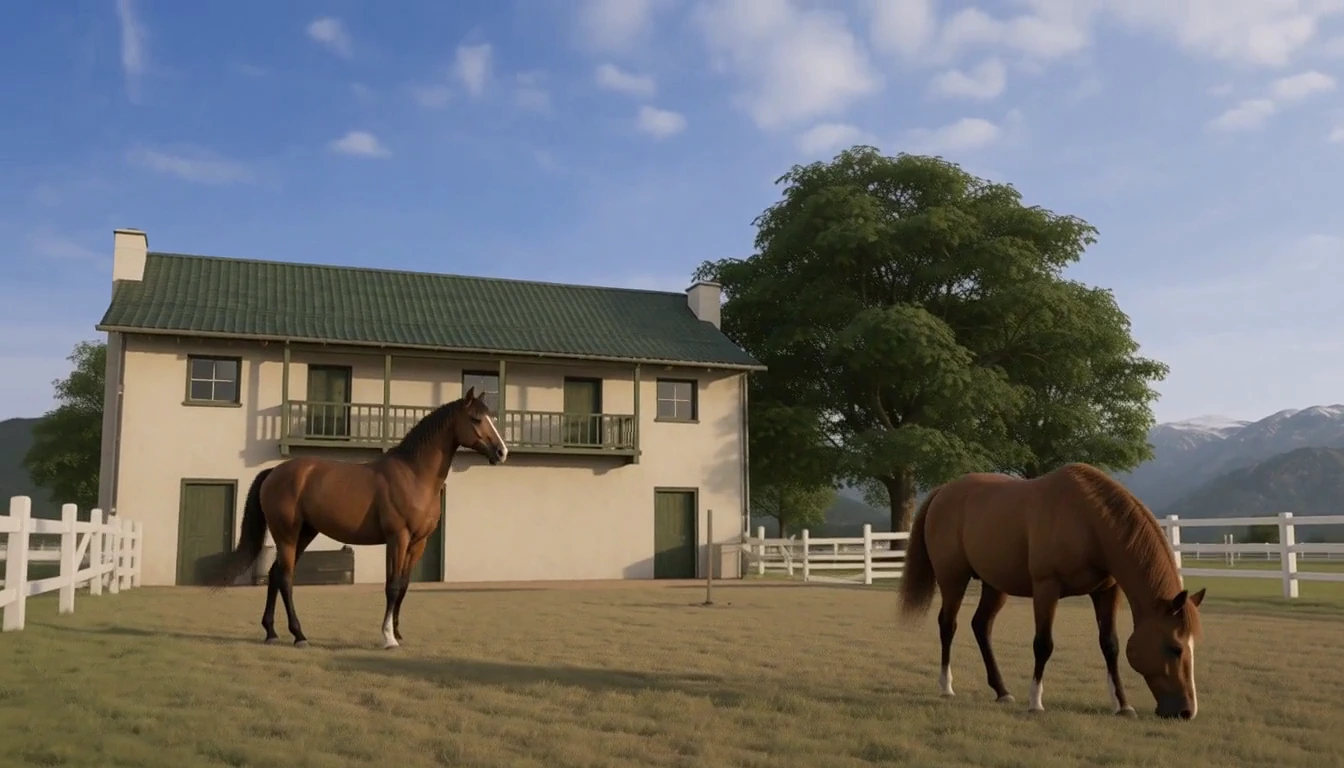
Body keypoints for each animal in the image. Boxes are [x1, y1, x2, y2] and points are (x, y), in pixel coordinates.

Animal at [205, 386, 509, 649]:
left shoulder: (417, 543)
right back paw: (299, 635)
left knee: (274, 575)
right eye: (476, 418)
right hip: (287, 535)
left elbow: (404, 586)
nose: (502, 452)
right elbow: (392, 586)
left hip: (304, 534)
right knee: (285, 578)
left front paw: (397, 631)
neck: (413, 474)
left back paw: (271, 632)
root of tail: (275, 472)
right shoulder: (397, 539)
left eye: (491, 418)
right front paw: (388, 638)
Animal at [896, 462, 1206, 720]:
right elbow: (1043, 644)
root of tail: (943, 491)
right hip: (953, 579)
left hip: (995, 585)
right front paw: (1035, 703)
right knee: (948, 625)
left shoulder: (1106, 591)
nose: (1186, 711)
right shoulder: (1047, 588)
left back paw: (1002, 691)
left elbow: (1111, 645)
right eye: (1175, 648)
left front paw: (1122, 705)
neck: (1087, 521)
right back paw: (946, 687)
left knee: (981, 626)